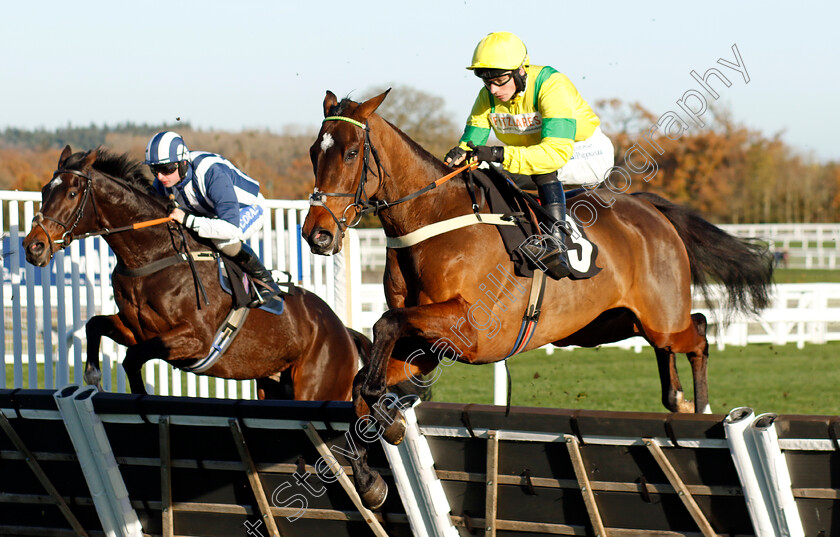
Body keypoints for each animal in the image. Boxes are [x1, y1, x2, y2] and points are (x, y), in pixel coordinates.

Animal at [23, 144, 360, 400]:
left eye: (71, 193)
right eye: (44, 190)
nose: (33, 246)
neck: (152, 256)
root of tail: (343, 331)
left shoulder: (195, 339)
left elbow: (132, 358)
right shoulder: (136, 330)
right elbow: (95, 326)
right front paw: (94, 376)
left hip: (318, 388)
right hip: (273, 385)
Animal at [302, 89, 776, 506]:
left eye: (350, 153)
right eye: (312, 152)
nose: (316, 234)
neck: (432, 222)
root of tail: (650, 208)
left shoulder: (470, 331)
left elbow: (383, 327)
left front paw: (389, 423)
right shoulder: (424, 344)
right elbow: (364, 381)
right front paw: (370, 476)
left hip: (662, 318)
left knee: (698, 333)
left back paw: (699, 407)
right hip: (608, 325)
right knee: (676, 341)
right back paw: (677, 399)